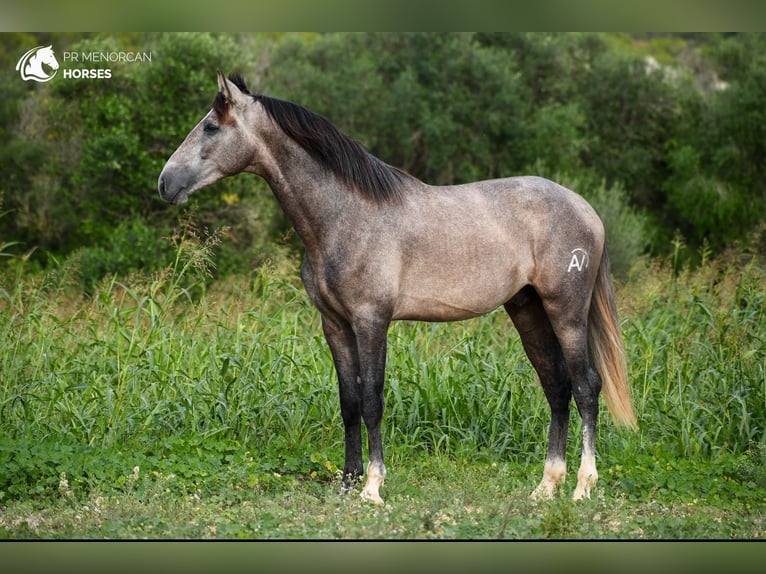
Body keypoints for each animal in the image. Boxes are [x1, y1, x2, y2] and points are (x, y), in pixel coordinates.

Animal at [159, 73, 640, 508]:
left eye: (211, 126)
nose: (165, 183)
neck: (346, 216)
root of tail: (587, 210)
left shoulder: (371, 320)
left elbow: (373, 400)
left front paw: (372, 487)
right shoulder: (335, 324)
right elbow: (349, 401)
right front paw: (348, 483)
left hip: (566, 311)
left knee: (586, 388)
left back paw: (582, 486)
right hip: (527, 310)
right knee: (556, 387)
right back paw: (546, 486)